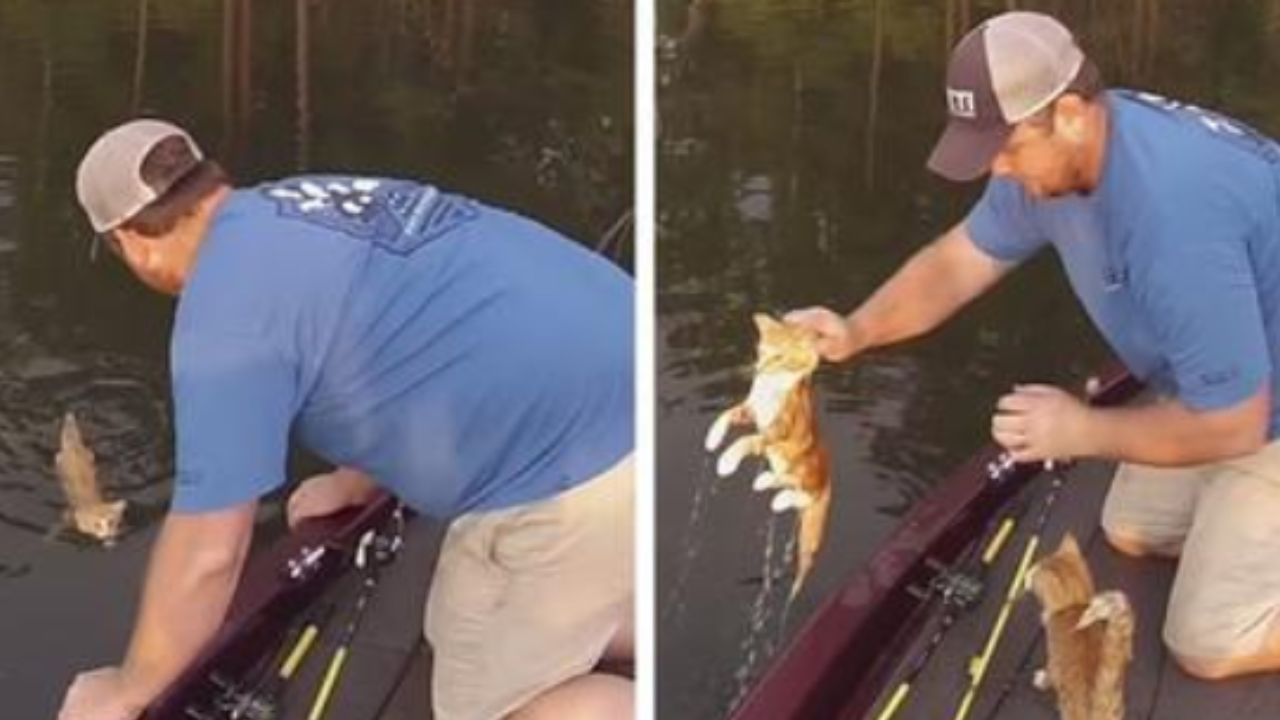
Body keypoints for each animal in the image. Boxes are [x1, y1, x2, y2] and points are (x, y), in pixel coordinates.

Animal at [52, 409, 124, 543]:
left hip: (89, 454)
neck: (93, 502)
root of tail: (73, 446)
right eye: (96, 525)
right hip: (60, 460)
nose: (108, 535)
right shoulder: (71, 514)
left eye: (111, 522)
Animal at [706, 311, 834, 597]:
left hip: (806, 469)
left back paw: (777, 496)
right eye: (760, 351)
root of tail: (829, 482)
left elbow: (748, 439)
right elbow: (726, 414)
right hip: (783, 465)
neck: (770, 386)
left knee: (804, 494)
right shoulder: (749, 410)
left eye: (779, 357)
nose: (758, 368)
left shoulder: (777, 430)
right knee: (785, 484)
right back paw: (765, 483)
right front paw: (712, 438)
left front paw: (726, 461)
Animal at [1024, 530, 1136, 717]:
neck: (1075, 605)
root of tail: (1100, 698)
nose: (1027, 573)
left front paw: (1042, 680)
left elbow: (1050, 674)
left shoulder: (1053, 661)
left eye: (1034, 574)